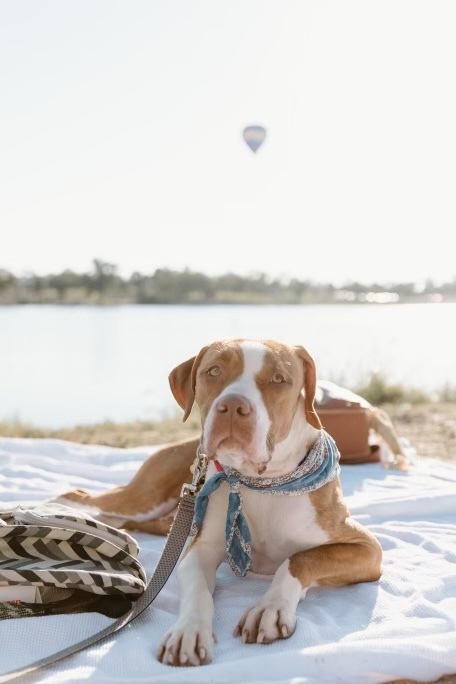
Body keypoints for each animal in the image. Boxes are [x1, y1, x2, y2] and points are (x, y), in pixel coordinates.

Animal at [60, 340, 388, 664]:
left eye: (278, 379)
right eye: (214, 371)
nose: (232, 407)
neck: (262, 484)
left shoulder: (367, 549)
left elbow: (300, 558)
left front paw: (269, 608)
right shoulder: (199, 550)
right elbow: (198, 591)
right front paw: (189, 630)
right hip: (144, 497)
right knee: (79, 496)